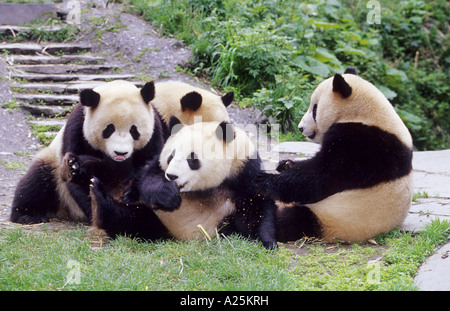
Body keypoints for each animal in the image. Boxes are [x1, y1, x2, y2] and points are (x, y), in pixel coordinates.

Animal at [10, 80, 170, 227]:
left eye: (134, 130)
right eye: (109, 129)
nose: (121, 152)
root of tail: (67, 211)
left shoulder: (155, 131)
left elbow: (148, 170)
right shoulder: (78, 127)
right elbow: (78, 179)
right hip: (53, 165)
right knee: (36, 182)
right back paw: (27, 215)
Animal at [88, 118, 278, 250]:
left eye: (192, 159)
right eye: (171, 156)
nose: (172, 176)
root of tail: (179, 236)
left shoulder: (244, 171)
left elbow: (258, 207)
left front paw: (267, 242)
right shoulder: (157, 165)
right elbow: (148, 178)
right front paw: (168, 196)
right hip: (159, 217)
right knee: (132, 219)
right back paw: (99, 198)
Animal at [255, 67, 414, 244]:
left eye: (315, 109)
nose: (301, 128)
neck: (364, 114)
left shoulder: (365, 146)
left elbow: (322, 176)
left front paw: (265, 181)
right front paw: (286, 164)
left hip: (334, 218)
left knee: (294, 219)